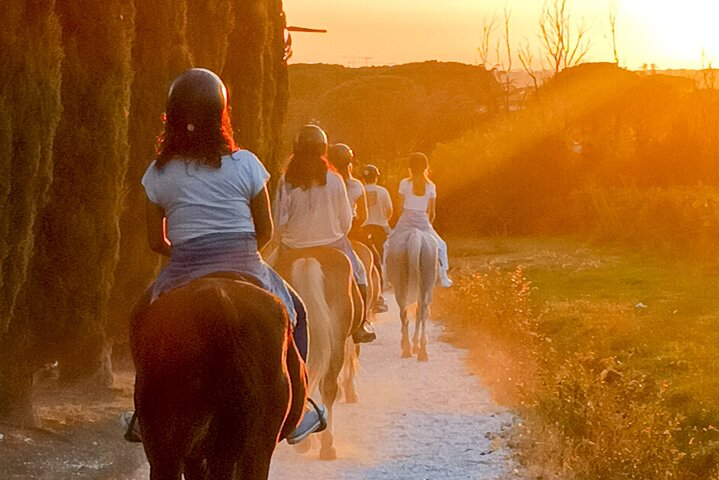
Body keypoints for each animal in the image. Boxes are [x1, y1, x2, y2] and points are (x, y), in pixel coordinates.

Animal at [386, 228, 436, 360]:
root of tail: (415, 236)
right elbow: (420, 312)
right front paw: (416, 345)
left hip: (401, 286)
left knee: (404, 313)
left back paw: (407, 348)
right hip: (424, 285)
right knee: (422, 312)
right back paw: (421, 351)